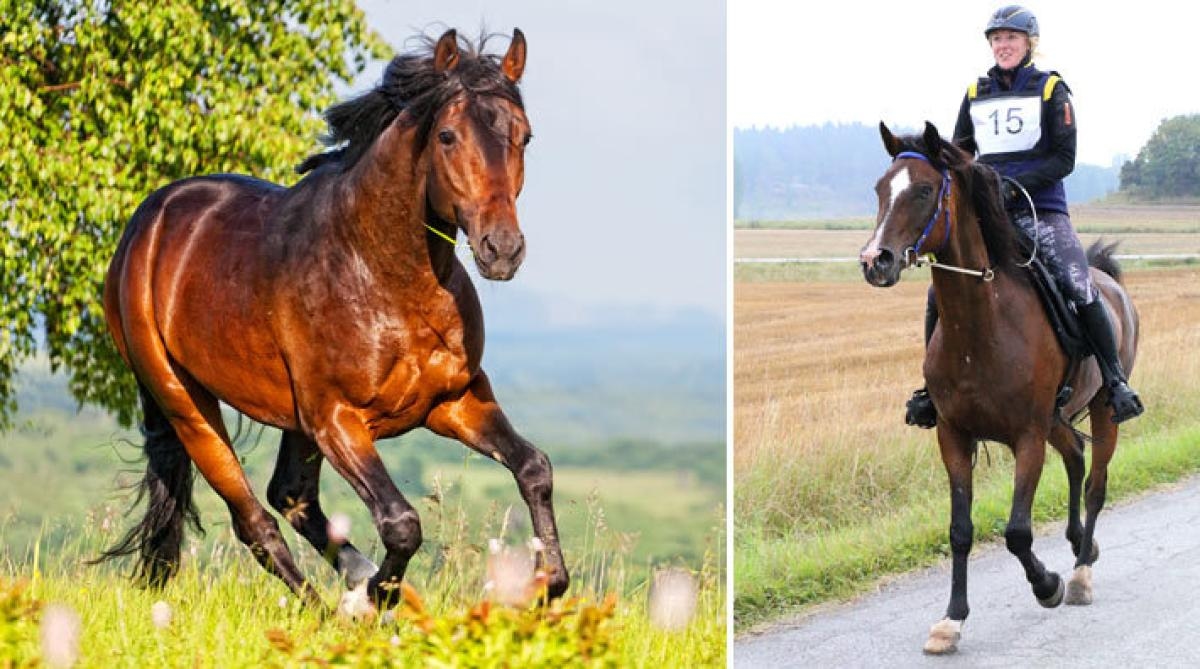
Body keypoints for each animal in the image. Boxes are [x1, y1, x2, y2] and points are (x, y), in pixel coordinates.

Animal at [98, 30, 566, 613]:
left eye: (524, 136)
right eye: (448, 136)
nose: (501, 249)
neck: (383, 274)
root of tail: (146, 223)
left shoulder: (454, 400)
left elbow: (534, 469)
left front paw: (548, 585)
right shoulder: (337, 419)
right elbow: (402, 523)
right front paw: (377, 600)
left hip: (293, 420)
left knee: (290, 496)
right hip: (184, 403)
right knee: (255, 521)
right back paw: (331, 607)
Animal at [859, 121, 1137, 657]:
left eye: (924, 190)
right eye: (881, 189)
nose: (874, 261)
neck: (980, 326)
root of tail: (1104, 279)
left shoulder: (1027, 436)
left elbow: (1016, 532)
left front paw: (1047, 585)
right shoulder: (952, 435)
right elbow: (960, 530)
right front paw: (950, 621)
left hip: (1100, 409)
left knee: (1095, 483)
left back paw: (1080, 575)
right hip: (1056, 418)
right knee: (1075, 457)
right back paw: (1081, 543)